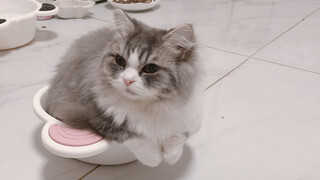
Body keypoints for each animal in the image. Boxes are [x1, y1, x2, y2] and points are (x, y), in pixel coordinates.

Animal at [45, 9, 202, 167]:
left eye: (151, 68)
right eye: (120, 60)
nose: (127, 80)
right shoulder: (95, 117)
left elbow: (180, 136)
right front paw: (155, 158)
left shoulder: (190, 117)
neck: (147, 106)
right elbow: (137, 138)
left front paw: (171, 156)